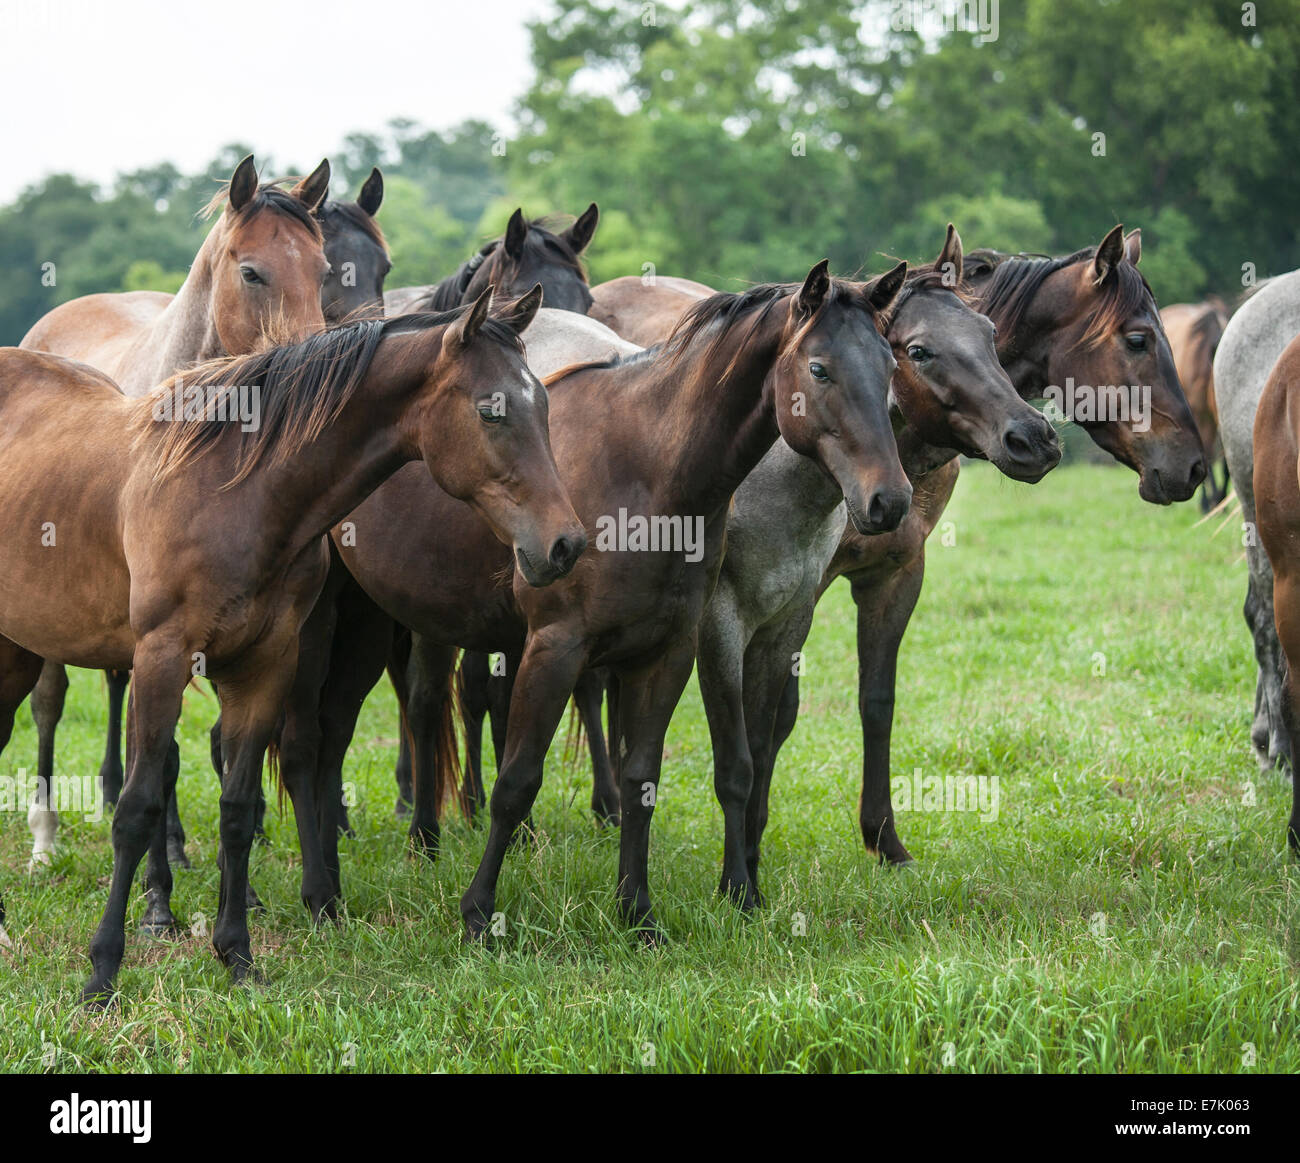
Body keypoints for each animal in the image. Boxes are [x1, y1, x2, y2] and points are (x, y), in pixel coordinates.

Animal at [0, 285, 585, 1003]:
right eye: (491, 410)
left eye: (546, 407)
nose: (564, 545)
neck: (233, 488)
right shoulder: (162, 659)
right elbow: (137, 810)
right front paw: (103, 971)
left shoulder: (265, 666)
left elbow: (238, 807)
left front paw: (237, 955)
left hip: (18, 652)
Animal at [15, 154, 335, 873]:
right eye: (253, 271)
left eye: (324, 270)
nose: (313, 357)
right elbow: (157, 755)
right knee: (50, 703)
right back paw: (46, 833)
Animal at [292, 261, 915, 935]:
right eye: (819, 369)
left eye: (890, 362)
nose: (889, 500)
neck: (649, 471)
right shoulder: (559, 646)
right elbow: (517, 782)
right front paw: (479, 912)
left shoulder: (667, 653)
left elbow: (643, 777)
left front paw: (638, 911)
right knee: (389, 718)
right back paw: (406, 849)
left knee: (348, 730)